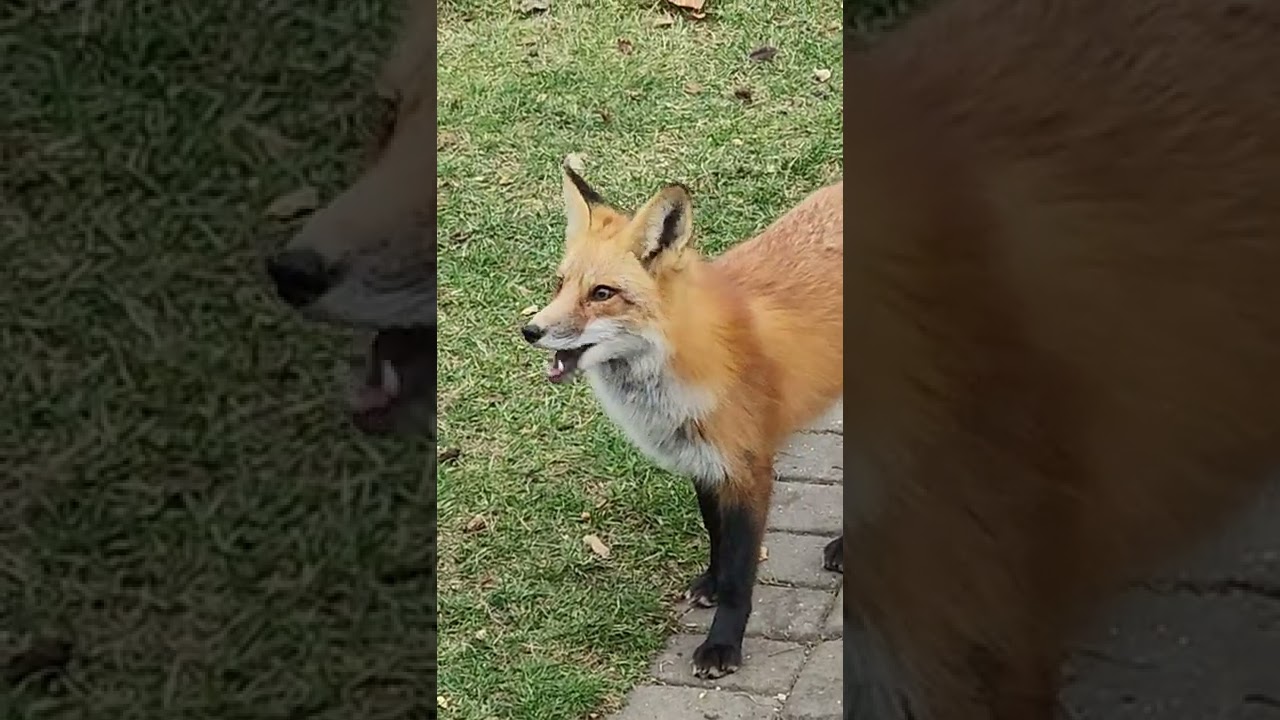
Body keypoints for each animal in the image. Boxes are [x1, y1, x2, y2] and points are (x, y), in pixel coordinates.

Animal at [521, 164, 844, 677]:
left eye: (602, 294)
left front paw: (723, 644)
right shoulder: (702, 461)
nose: (530, 330)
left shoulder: (748, 468)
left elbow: (739, 573)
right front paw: (711, 581)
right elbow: (716, 535)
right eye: (560, 284)